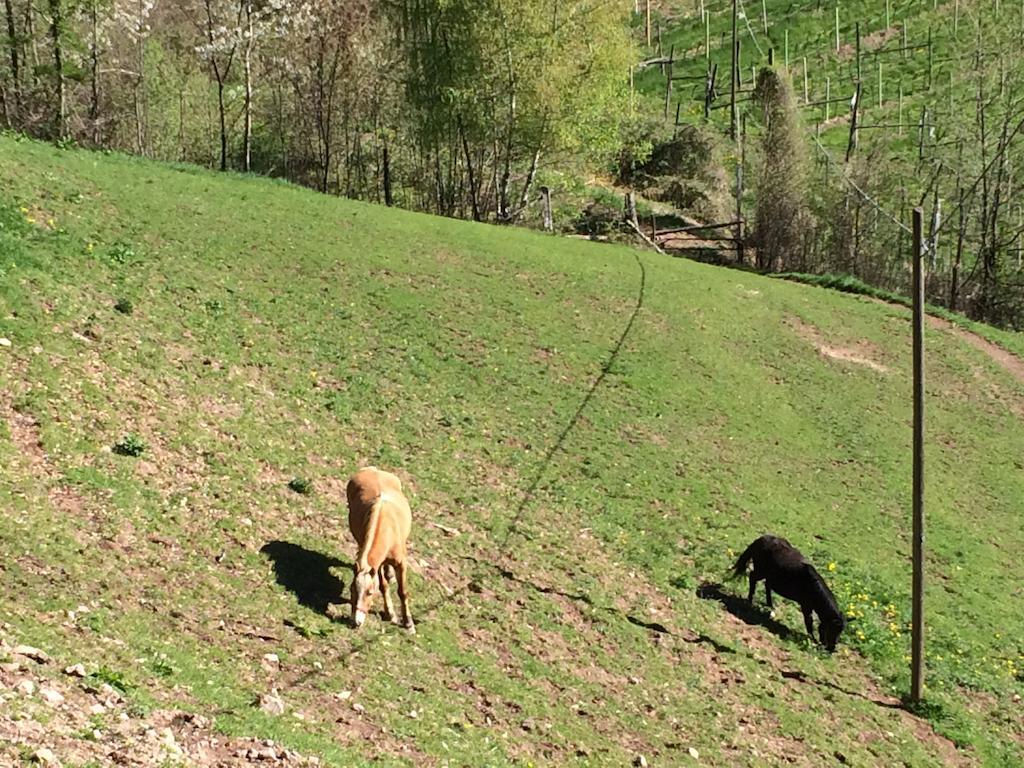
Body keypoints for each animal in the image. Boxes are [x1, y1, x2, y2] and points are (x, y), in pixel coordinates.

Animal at [346, 466, 413, 634]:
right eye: (352, 590)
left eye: (369, 592)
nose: (355, 622)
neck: (386, 528)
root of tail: (371, 469)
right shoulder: (378, 564)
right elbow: (383, 585)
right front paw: (391, 614)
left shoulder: (401, 563)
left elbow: (402, 592)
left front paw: (408, 623)